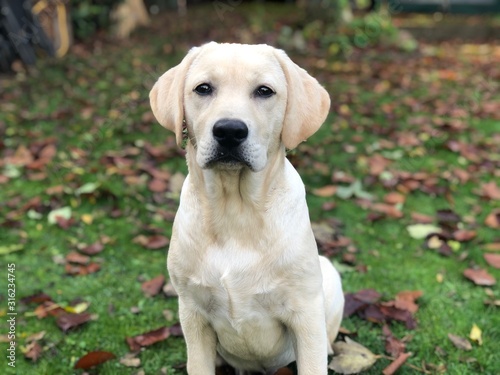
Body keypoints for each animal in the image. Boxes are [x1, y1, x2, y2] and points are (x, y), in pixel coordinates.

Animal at [148, 42, 344, 374]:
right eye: (203, 88)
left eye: (265, 91)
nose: (229, 131)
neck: (235, 211)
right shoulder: (192, 314)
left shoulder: (305, 315)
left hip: (328, 277)